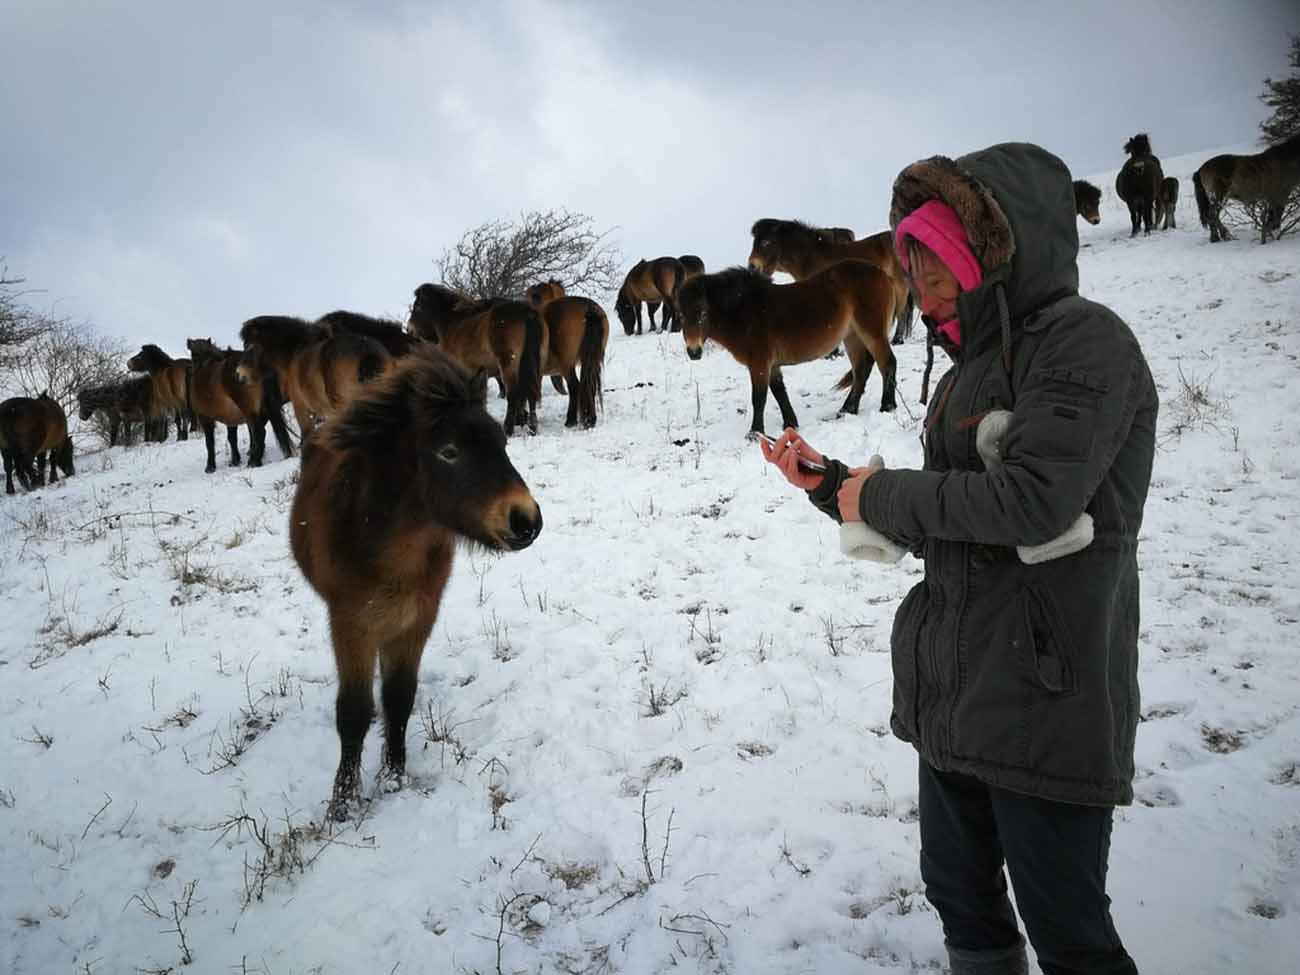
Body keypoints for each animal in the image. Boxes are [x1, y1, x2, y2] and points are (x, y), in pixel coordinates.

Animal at [289, 348, 543, 821]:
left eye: (502, 443)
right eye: (449, 452)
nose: (525, 520)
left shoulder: (416, 620)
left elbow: (398, 698)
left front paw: (393, 778)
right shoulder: (350, 625)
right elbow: (353, 711)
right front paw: (343, 802)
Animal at [522, 278, 608, 426]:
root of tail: (589, 309)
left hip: (567, 364)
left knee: (575, 386)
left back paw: (571, 420)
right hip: (591, 360)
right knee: (588, 385)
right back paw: (589, 419)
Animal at [676, 263, 899, 439]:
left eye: (703, 313)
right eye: (681, 316)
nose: (694, 352)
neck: (745, 311)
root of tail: (885, 276)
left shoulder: (759, 363)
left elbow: (759, 398)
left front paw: (755, 433)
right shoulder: (772, 365)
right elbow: (779, 392)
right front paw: (790, 423)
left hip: (871, 333)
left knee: (887, 364)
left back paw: (887, 406)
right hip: (852, 336)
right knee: (861, 370)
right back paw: (847, 410)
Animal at [748, 220, 920, 348]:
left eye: (766, 242)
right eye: (754, 242)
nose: (752, 266)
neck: (812, 257)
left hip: (900, 284)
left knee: (903, 311)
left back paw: (897, 340)